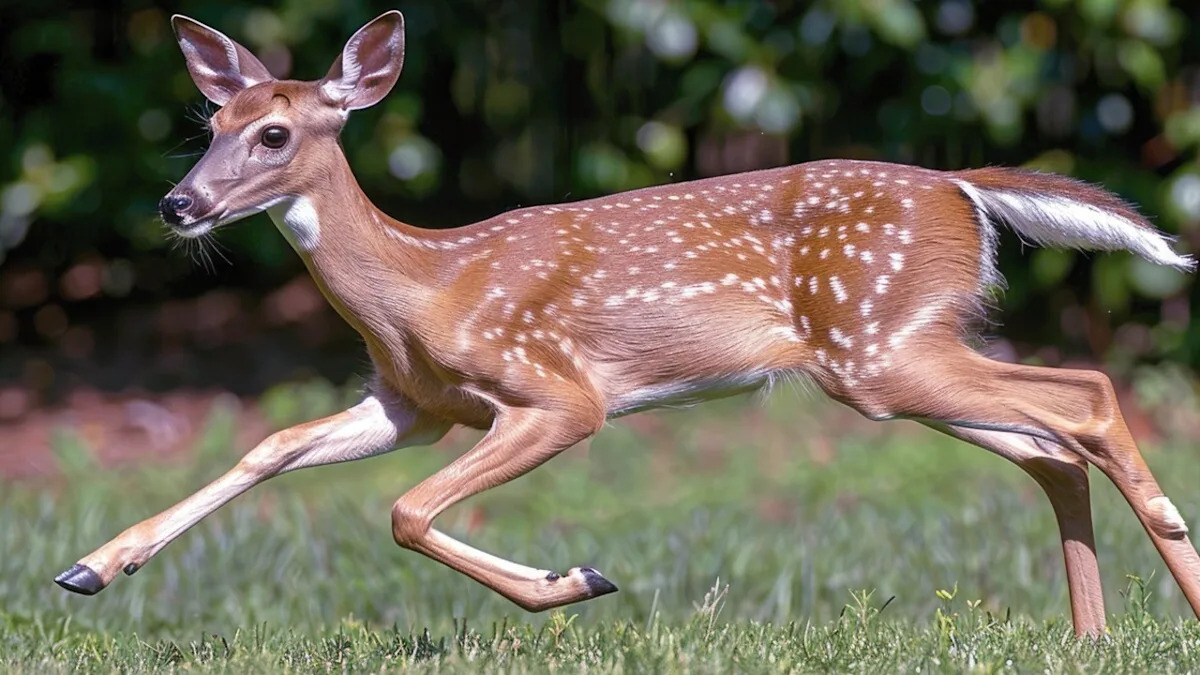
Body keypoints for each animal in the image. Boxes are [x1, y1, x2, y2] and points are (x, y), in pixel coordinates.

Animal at [53, 11, 1199, 638]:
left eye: (276, 134)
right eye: (213, 122)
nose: (177, 205)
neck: (424, 287)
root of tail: (965, 186)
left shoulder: (558, 395)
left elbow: (408, 512)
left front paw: (575, 580)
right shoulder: (413, 405)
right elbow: (276, 443)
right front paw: (94, 567)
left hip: (881, 347)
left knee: (1086, 395)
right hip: (894, 360)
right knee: (1052, 449)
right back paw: (1091, 638)